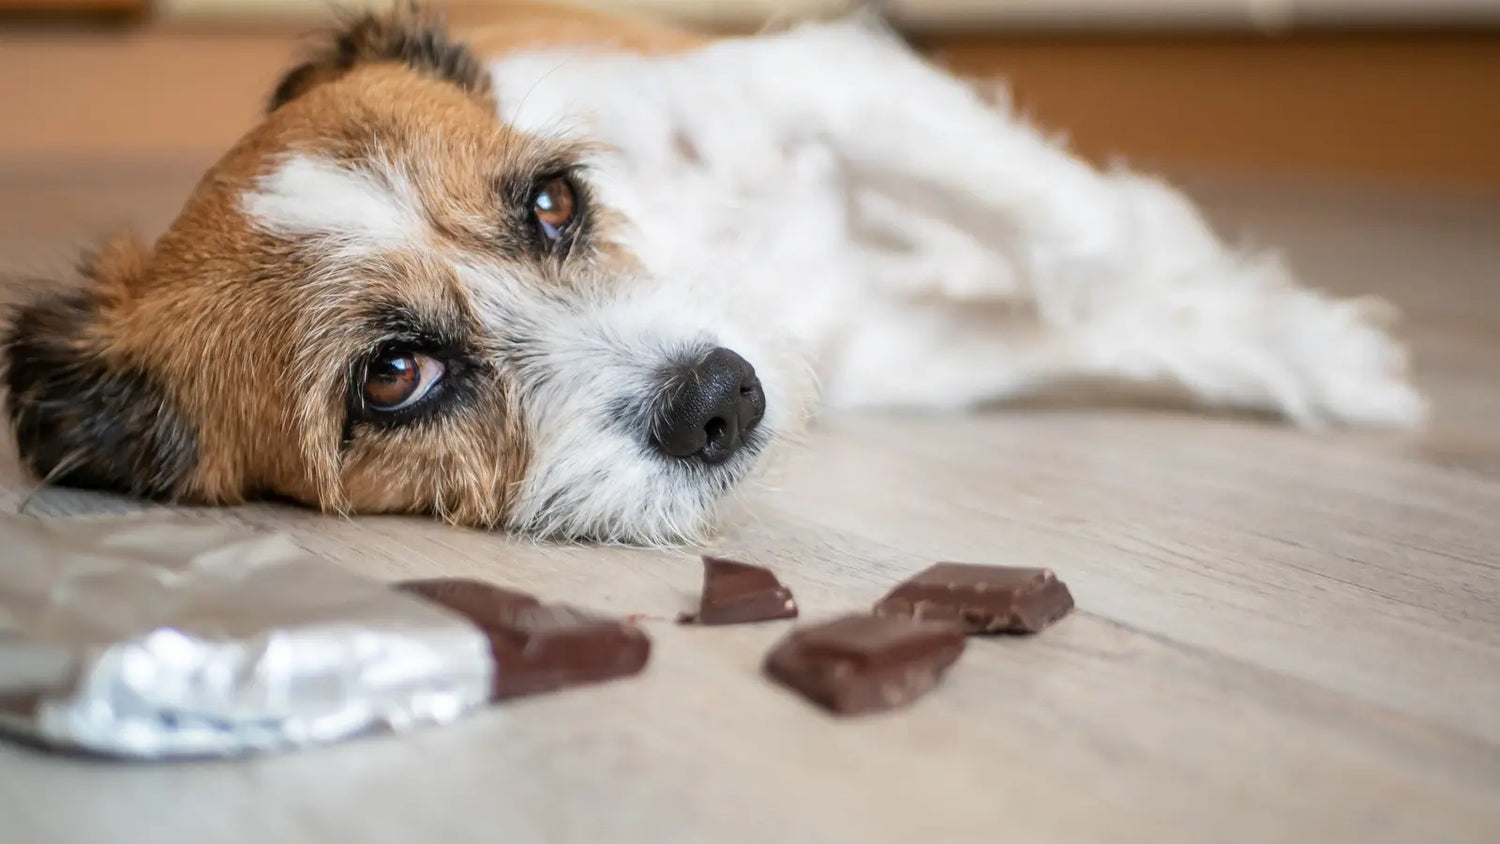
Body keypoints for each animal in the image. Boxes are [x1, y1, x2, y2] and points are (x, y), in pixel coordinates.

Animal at [5, 1, 1422, 542]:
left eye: (554, 202)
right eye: (393, 376)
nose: (722, 400)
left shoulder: (821, 78)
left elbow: (1084, 242)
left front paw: (1322, 354)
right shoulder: (894, 352)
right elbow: (1086, 308)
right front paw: (1294, 343)